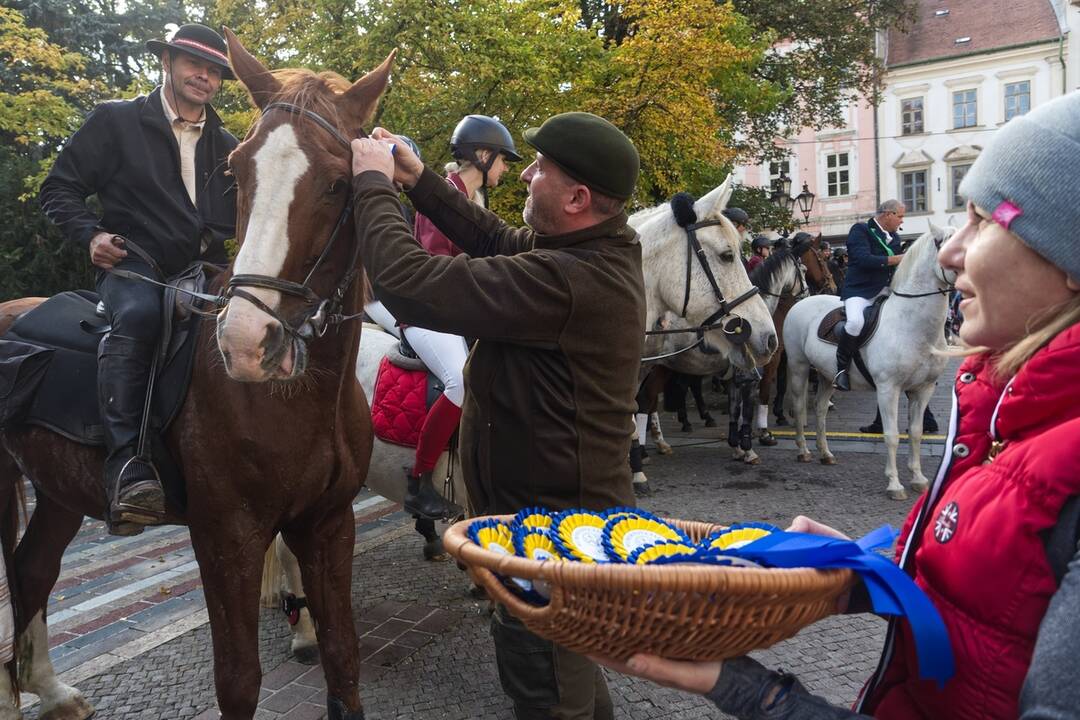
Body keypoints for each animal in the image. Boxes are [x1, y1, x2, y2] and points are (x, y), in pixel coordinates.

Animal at [0, 32, 393, 720]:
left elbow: (344, 657)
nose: (246, 342)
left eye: (338, 182)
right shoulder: (226, 536)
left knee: (32, 571)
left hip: (56, 490)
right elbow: (238, 679)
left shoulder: (327, 523)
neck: (294, 402)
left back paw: (51, 690)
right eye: (236, 171)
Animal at [781, 225, 959, 500]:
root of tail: (802, 302)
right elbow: (892, 435)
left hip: (826, 375)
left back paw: (825, 453)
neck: (911, 324)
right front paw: (895, 484)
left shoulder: (923, 389)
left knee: (820, 410)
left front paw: (918, 478)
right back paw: (804, 451)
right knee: (800, 407)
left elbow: (916, 433)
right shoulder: (888, 389)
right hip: (799, 367)